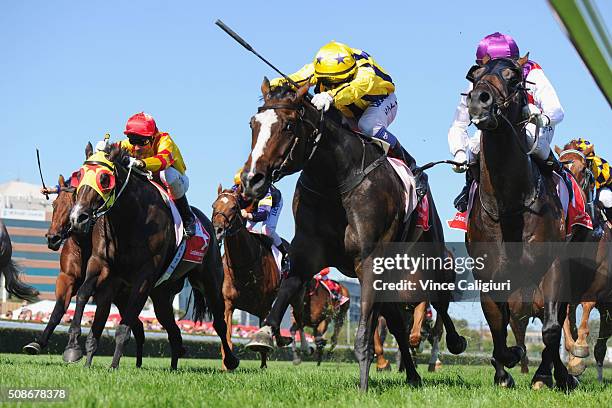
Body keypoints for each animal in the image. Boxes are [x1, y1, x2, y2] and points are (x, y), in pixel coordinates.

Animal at [67, 143, 239, 370]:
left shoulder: (144, 276)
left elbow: (125, 327)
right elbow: (83, 294)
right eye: (80, 175)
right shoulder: (101, 264)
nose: (78, 217)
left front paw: (113, 365)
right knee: (174, 331)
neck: (129, 219)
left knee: (219, 321)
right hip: (162, 295)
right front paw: (73, 348)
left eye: (104, 179)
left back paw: (230, 361)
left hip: (210, 280)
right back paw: (174, 365)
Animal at [212, 188, 302, 370]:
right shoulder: (228, 304)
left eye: (234, 207)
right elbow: (227, 336)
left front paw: (263, 365)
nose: (217, 230)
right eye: (213, 206)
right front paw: (227, 364)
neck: (244, 265)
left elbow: (265, 339)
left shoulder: (264, 306)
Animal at [241, 79, 466, 388]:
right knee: (397, 322)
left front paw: (363, 384)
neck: (334, 181)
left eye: (288, 125)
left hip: (431, 259)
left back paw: (453, 344)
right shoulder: (307, 252)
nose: (251, 180)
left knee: (440, 305)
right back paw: (412, 375)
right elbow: (287, 289)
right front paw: (264, 334)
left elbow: (366, 333)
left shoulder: (370, 260)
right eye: (253, 124)